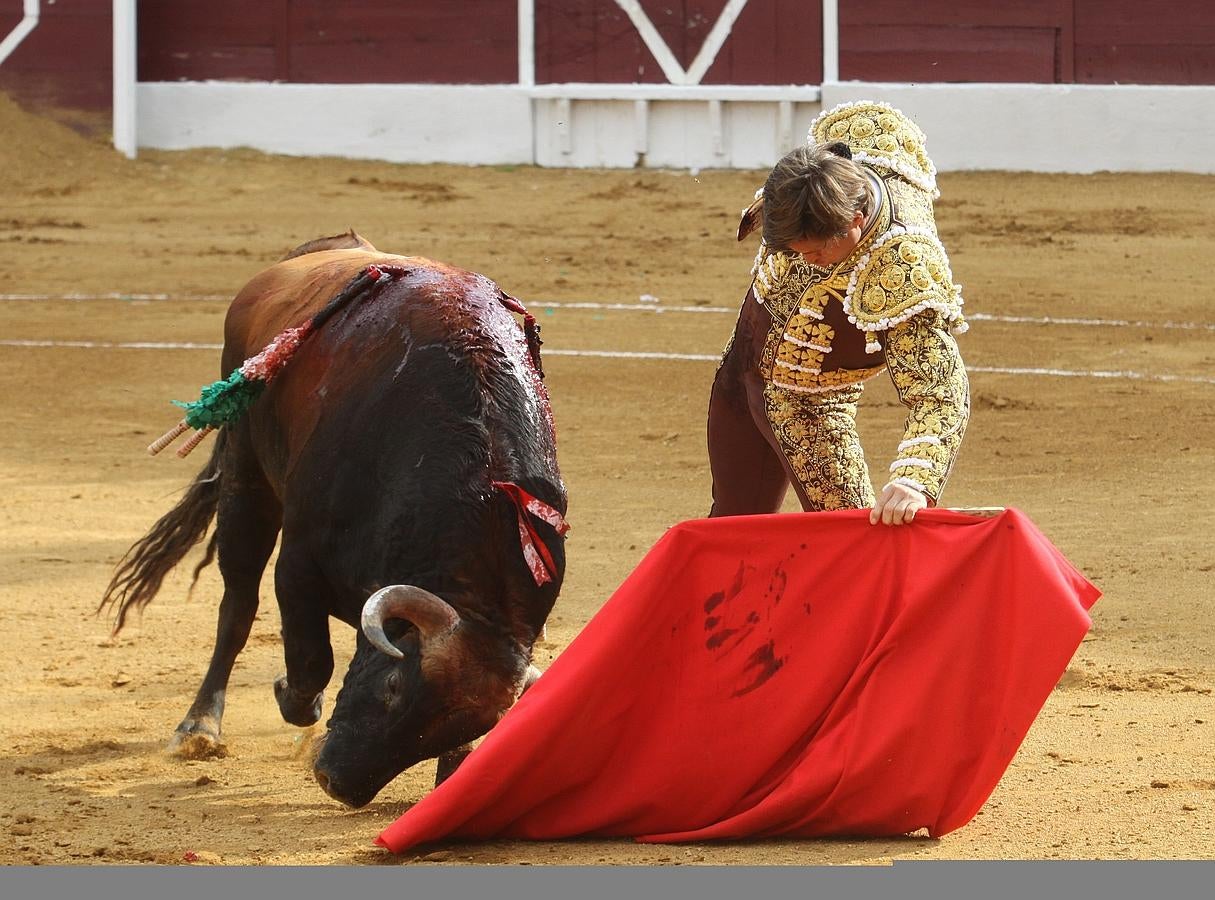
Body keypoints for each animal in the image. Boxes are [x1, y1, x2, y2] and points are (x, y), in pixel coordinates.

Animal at [97, 231, 566, 806]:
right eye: (393, 687)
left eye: (471, 727)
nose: (337, 784)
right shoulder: (298, 566)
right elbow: (310, 658)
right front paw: (294, 700)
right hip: (246, 479)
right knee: (238, 602)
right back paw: (199, 727)